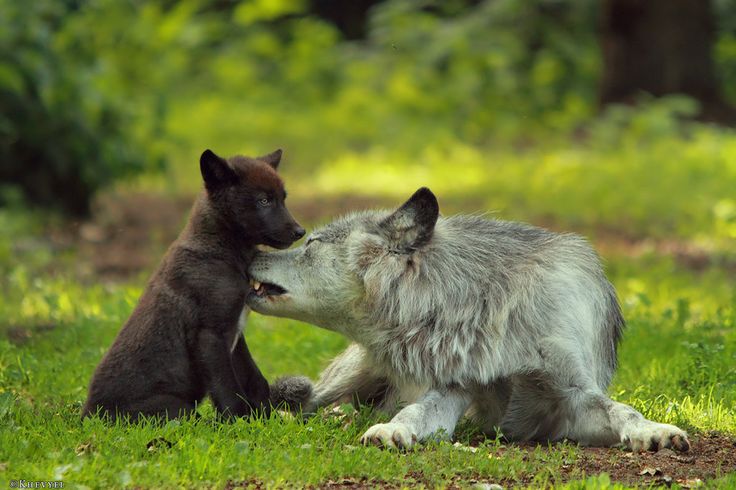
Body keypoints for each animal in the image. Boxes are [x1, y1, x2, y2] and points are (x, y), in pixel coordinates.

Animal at [83, 149, 308, 422]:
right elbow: (228, 389)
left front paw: (265, 418)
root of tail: (88, 414)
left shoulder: (235, 336)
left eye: (283, 199)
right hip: (176, 409)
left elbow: (254, 379)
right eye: (264, 201)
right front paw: (236, 422)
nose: (300, 231)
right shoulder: (210, 336)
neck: (222, 251)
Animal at [247, 188, 688, 452]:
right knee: (309, 402)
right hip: (347, 375)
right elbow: (414, 413)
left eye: (311, 243)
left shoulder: (572, 401)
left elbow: (623, 410)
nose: (249, 251)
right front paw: (391, 430)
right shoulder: (452, 389)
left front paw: (654, 431)